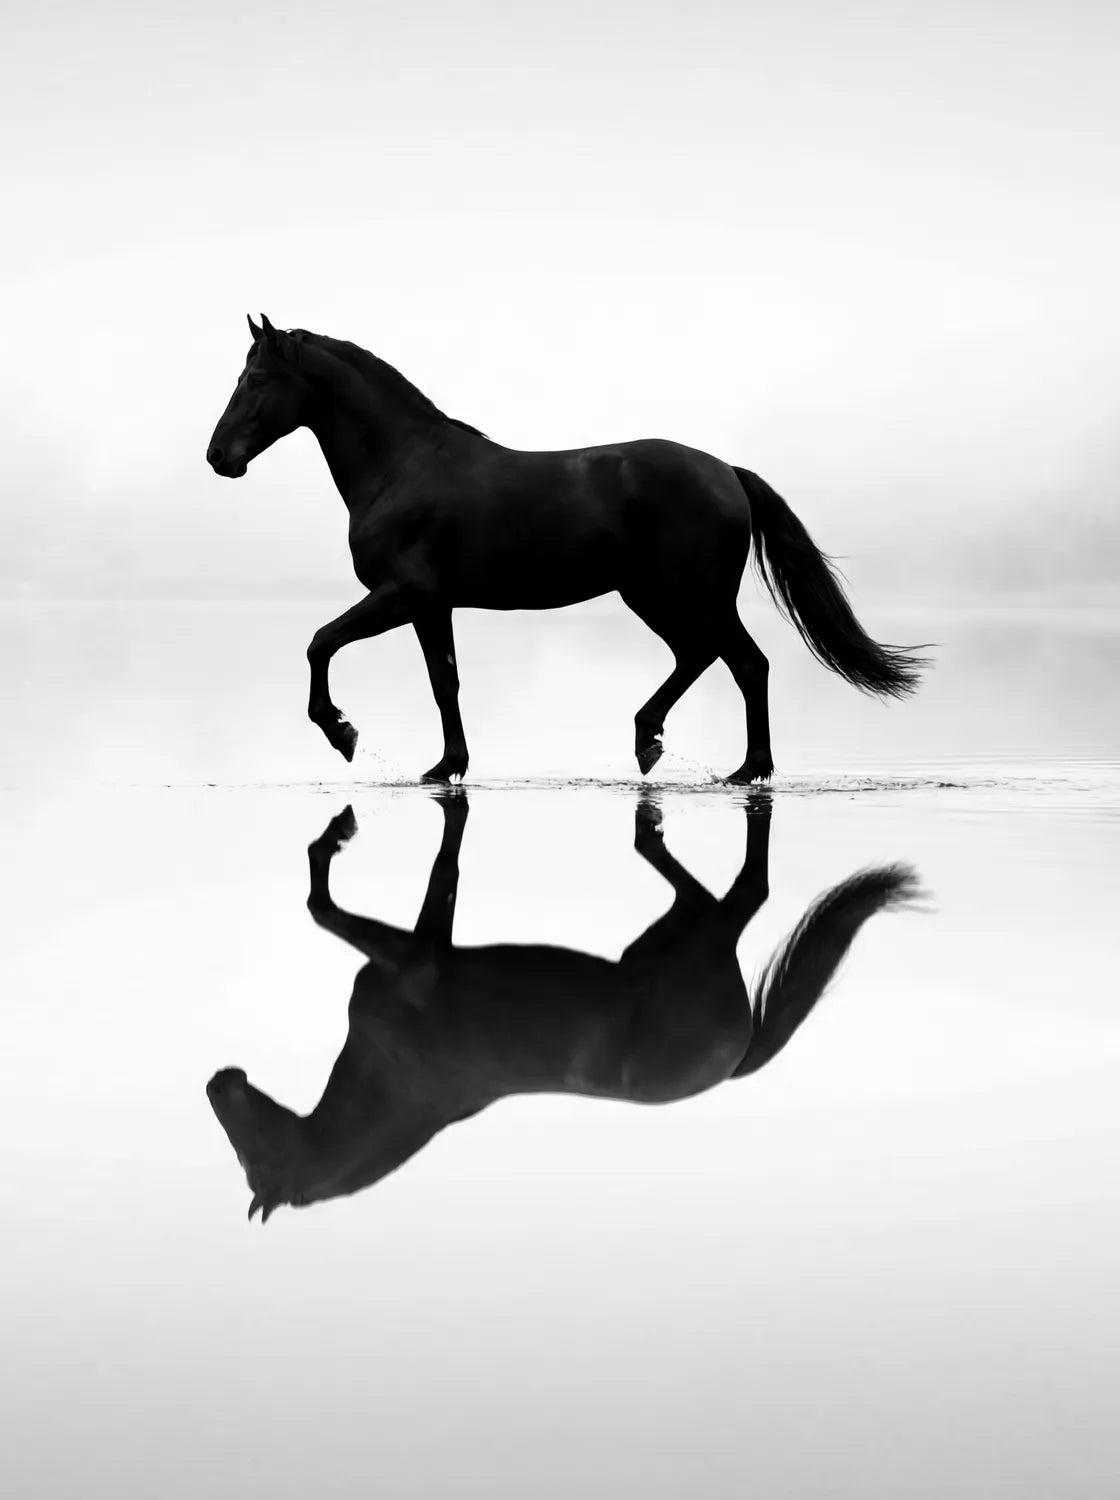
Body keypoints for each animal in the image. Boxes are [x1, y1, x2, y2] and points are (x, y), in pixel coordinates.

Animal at [206, 315, 928, 782]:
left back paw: (741, 769)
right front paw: (447, 765)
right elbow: (445, 681)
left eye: (257, 379)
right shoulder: (431, 605)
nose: (218, 457)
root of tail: (726, 472)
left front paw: (342, 732)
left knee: (746, 663)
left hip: (691, 595)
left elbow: (321, 642)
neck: (403, 465)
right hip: (652, 596)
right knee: (702, 657)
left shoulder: (402, 595)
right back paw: (656, 742)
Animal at [207, 794, 921, 1222]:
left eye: (251, 1158)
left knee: (742, 893)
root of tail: (737, 1057)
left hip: (697, 934)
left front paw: (337, 833)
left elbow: (322, 906)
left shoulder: (409, 962)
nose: (219, 1082)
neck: (396, 1080)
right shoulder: (421, 949)